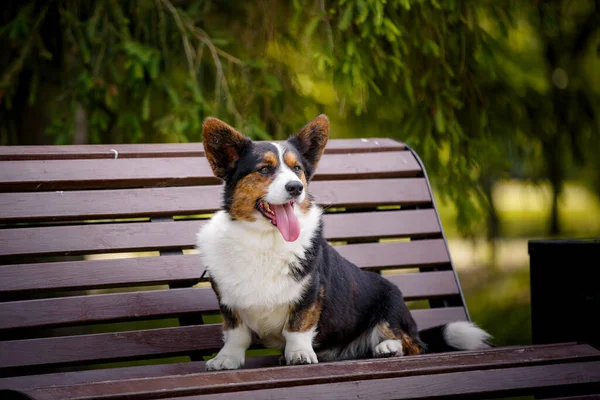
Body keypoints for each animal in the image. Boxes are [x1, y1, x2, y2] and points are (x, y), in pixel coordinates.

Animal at [197, 114, 492, 370]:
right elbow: (236, 334)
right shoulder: (228, 302)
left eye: (297, 169)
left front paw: (299, 354)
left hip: (390, 306)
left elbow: (297, 327)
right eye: (265, 169)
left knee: (414, 344)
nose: (296, 187)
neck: (264, 240)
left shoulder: (310, 293)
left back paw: (388, 347)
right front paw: (226, 360)